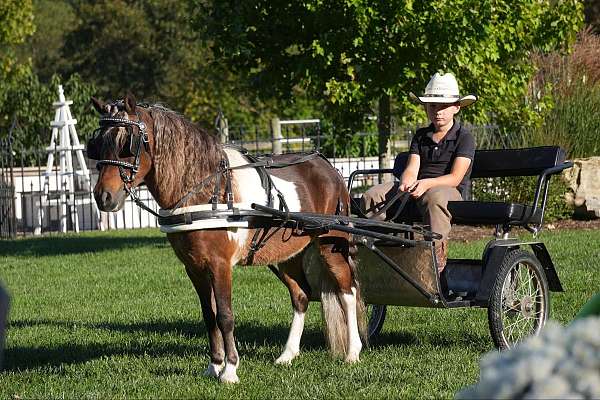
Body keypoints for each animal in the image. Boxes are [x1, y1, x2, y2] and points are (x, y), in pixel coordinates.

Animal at [89, 94, 366, 384]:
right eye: (98, 145)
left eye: (126, 144)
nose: (103, 197)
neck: (207, 191)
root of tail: (328, 167)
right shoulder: (194, 268)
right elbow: (209, 315)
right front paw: (214, 365)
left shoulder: (220, 265)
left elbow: (225, 315)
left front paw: (230, 370)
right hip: (288, 255)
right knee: (301, 296)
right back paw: (287, 355)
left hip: (331, 245)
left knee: (348, 292)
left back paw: (352, 353)